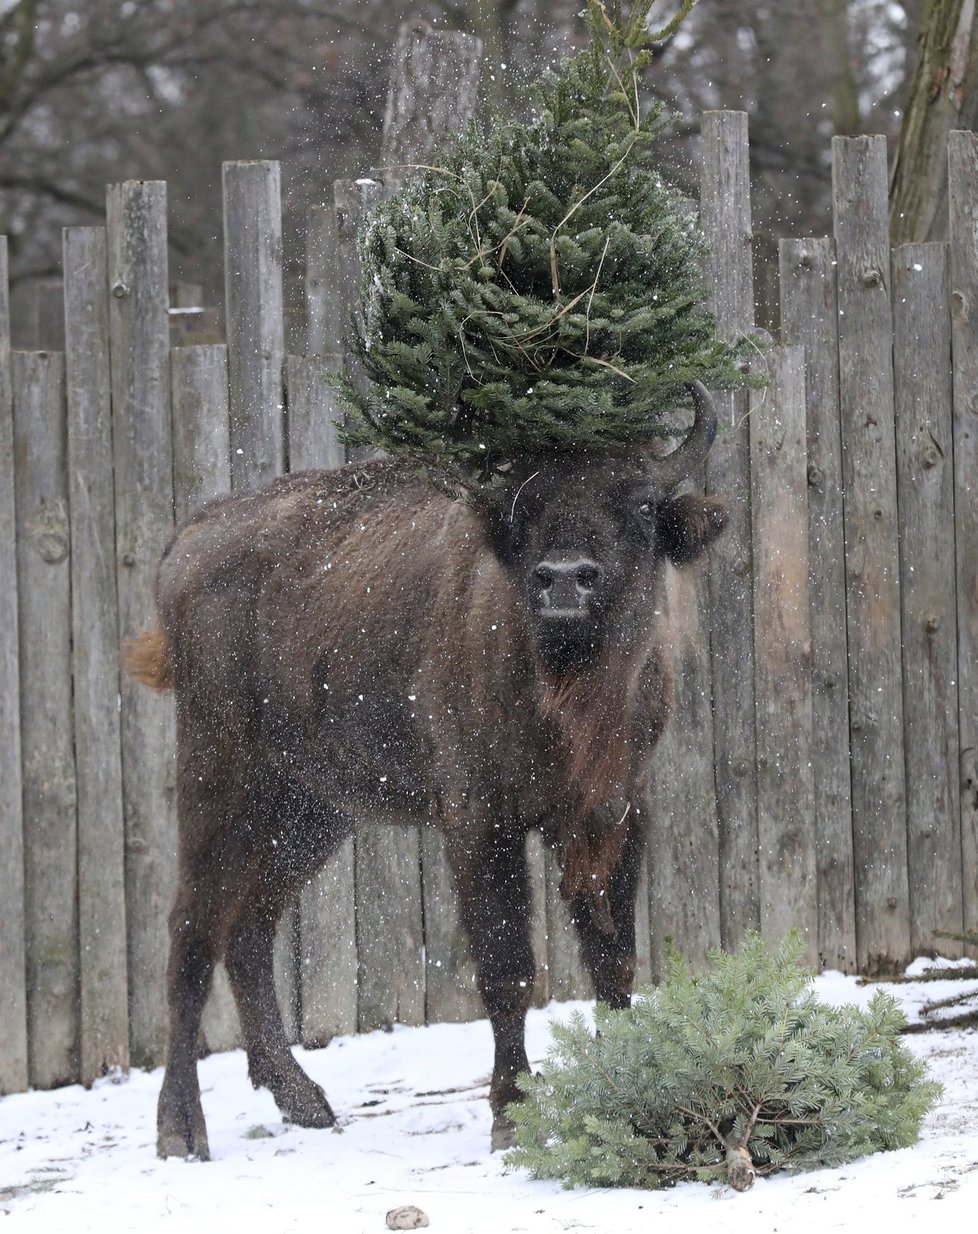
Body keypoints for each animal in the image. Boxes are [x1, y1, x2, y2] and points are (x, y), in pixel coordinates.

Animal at [127, 380, 725, 1159]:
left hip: (315, 811)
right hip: (221, 780)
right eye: (523, 507)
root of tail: (187, 540)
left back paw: (304, 1101)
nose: (565, 580)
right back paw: (181, 1131)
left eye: (642, 504)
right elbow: (507, 965)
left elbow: (613, 955)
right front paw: (511, 1114)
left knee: (251, 927)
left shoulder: (615, 810)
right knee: (192, 932)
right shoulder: (478, 818)